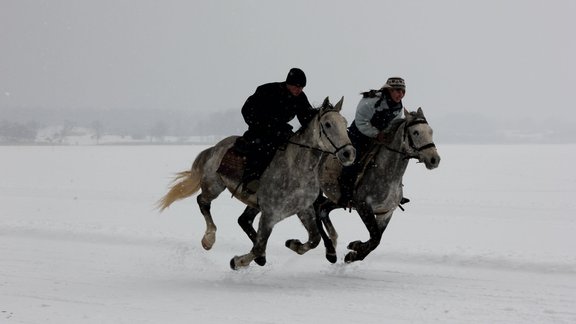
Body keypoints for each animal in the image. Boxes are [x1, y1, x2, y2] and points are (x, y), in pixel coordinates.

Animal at [158, 96, 356, 268]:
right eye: (328, 124)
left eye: (345, 123)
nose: (349, 153)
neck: (297, 170)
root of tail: (214, 148)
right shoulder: (270, 214)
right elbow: (260, 245)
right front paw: (237, 262)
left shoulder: (304, 209)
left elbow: (314, 239)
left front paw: (293, 244)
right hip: (214, 186)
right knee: (203, 202)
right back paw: (209, 239)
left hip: (251, 202)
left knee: (243, 220)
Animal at [316, 108, 440, 264]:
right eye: (416, 132)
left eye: (430, 131)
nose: (434, 159)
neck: (388, 175)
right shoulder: (363, 206)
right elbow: (375, 238)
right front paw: (354, 250)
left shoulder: (385, 213)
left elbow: (375, 240)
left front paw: (355, 249)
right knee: (317, 211)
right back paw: (330, 252)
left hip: (337, 200)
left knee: (323, 209)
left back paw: (332, 245)